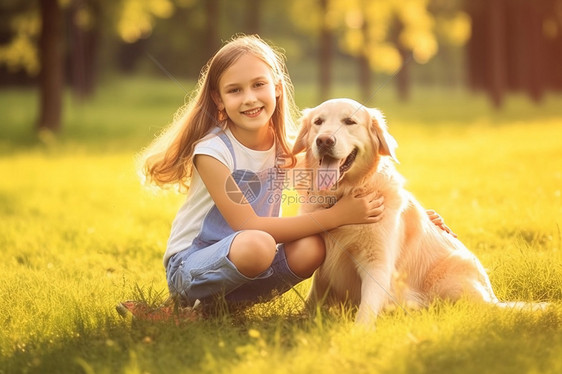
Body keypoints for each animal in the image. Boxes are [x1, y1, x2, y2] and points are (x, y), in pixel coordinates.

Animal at [294, 98, 516, 324]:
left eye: (349, 121)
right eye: (318, 122)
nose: (324, 141)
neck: (342, 195)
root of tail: (492, 297)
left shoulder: (378, 262)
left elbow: (367, 307)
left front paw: (358, 331)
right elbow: (313, 296)